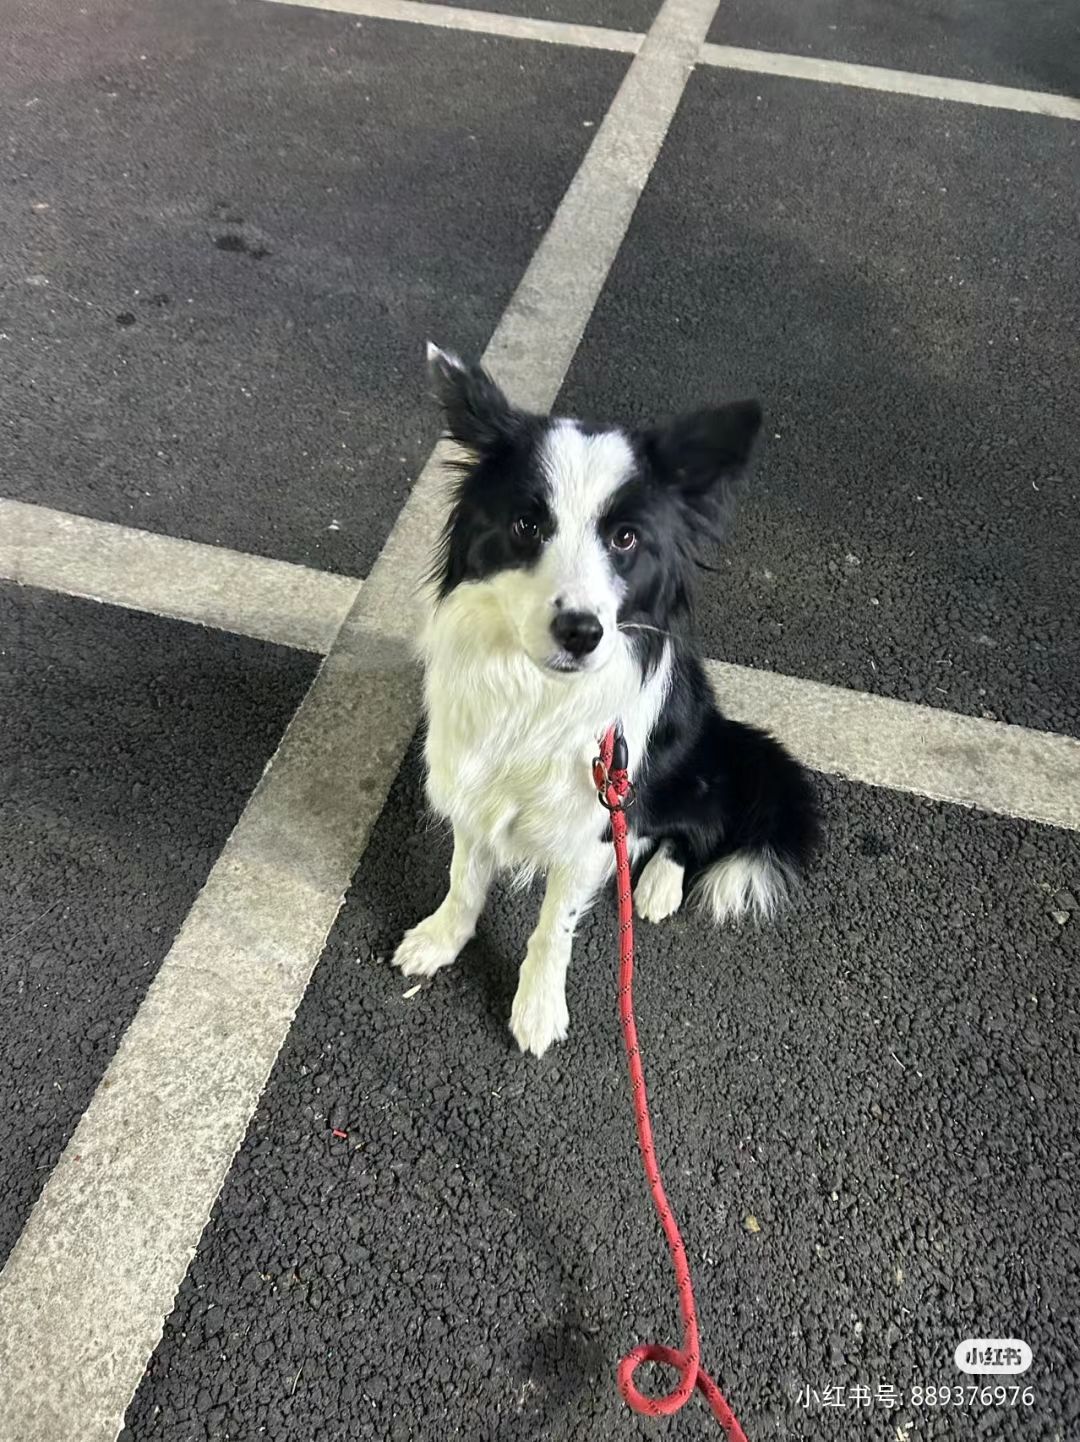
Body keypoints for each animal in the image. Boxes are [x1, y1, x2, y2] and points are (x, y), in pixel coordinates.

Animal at [392, 345, 819, 1057]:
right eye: (527, 524)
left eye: (625, 539)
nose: (581, 631)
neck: (535, 696)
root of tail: (728, 734)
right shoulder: (475, 786)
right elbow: (463, 877)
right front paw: (440, 938)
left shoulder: (591, 824)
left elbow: (553, 927)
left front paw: (538, 1008)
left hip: (687, 767)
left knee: (692, 827)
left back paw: (657, 884)